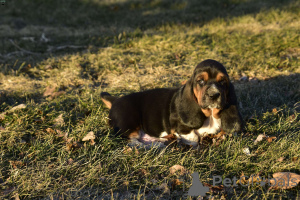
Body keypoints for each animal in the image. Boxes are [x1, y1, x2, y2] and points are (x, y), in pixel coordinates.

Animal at [102, 59, 243, 147]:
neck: (211, 113)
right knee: (131, 140)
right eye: (201, 81)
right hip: (128, 123)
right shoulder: (178, 126)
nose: (214, 95)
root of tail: (115, 100)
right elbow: (193, 137)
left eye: (222, 81)